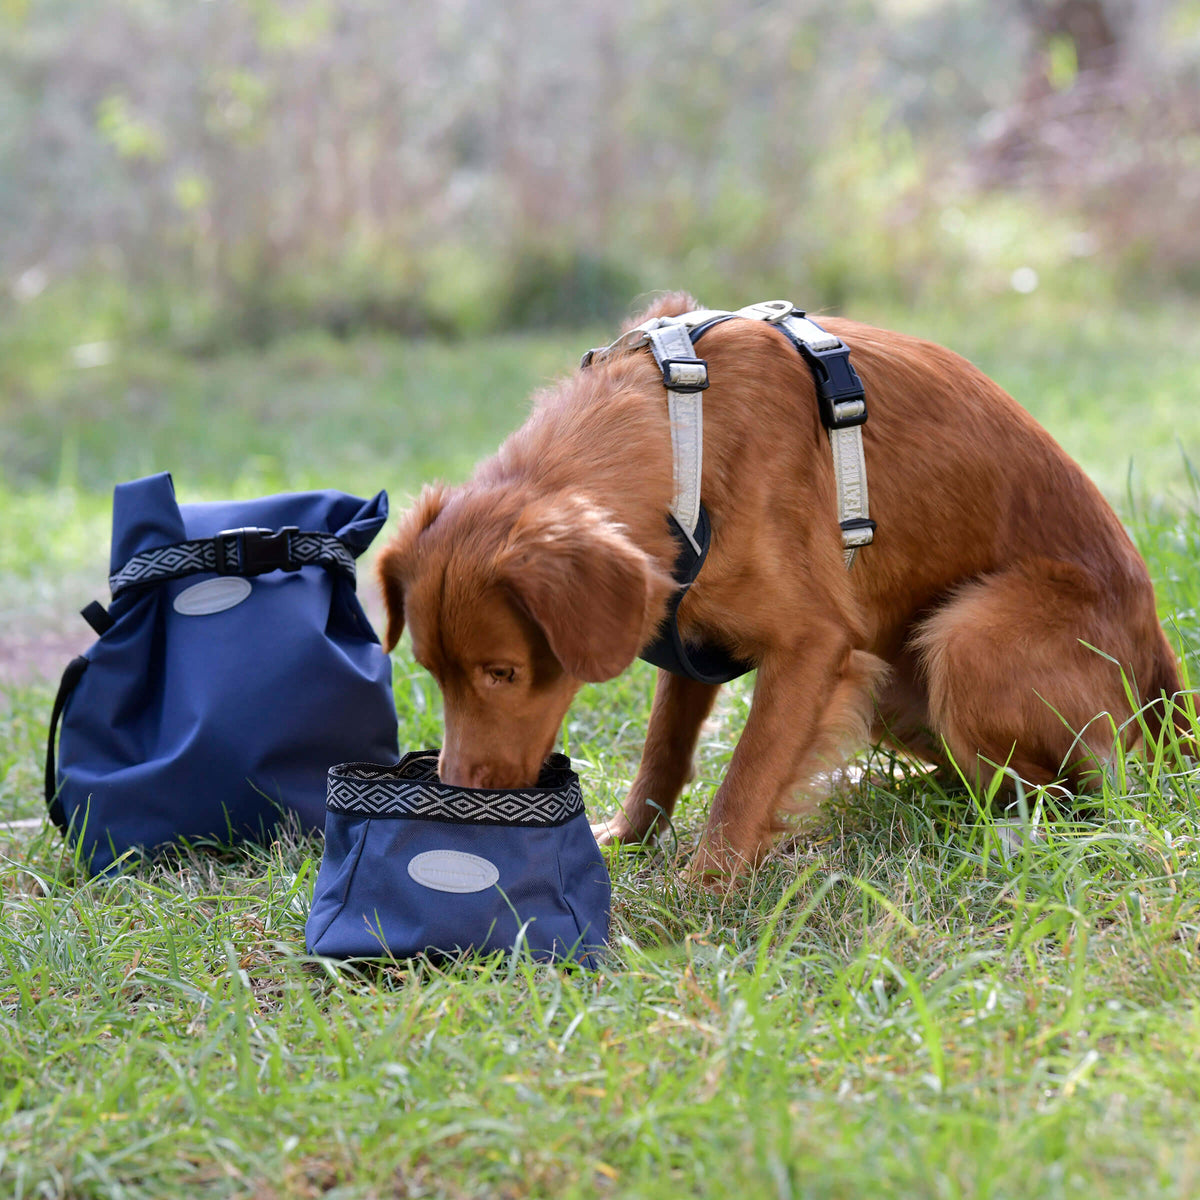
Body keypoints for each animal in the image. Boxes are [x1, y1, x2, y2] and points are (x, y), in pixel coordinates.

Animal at [379, 292, 1185, 883]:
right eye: (432, 673)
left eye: (504, 673)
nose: (457, 795)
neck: (683, 431)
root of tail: (1161, 671)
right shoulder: (685, 628)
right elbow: (663, 753)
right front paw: (630, 837)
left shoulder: (814, 643)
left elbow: (748, 773)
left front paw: (704, 887)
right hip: (893, 680)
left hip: (962, 639)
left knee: (1070, 792)